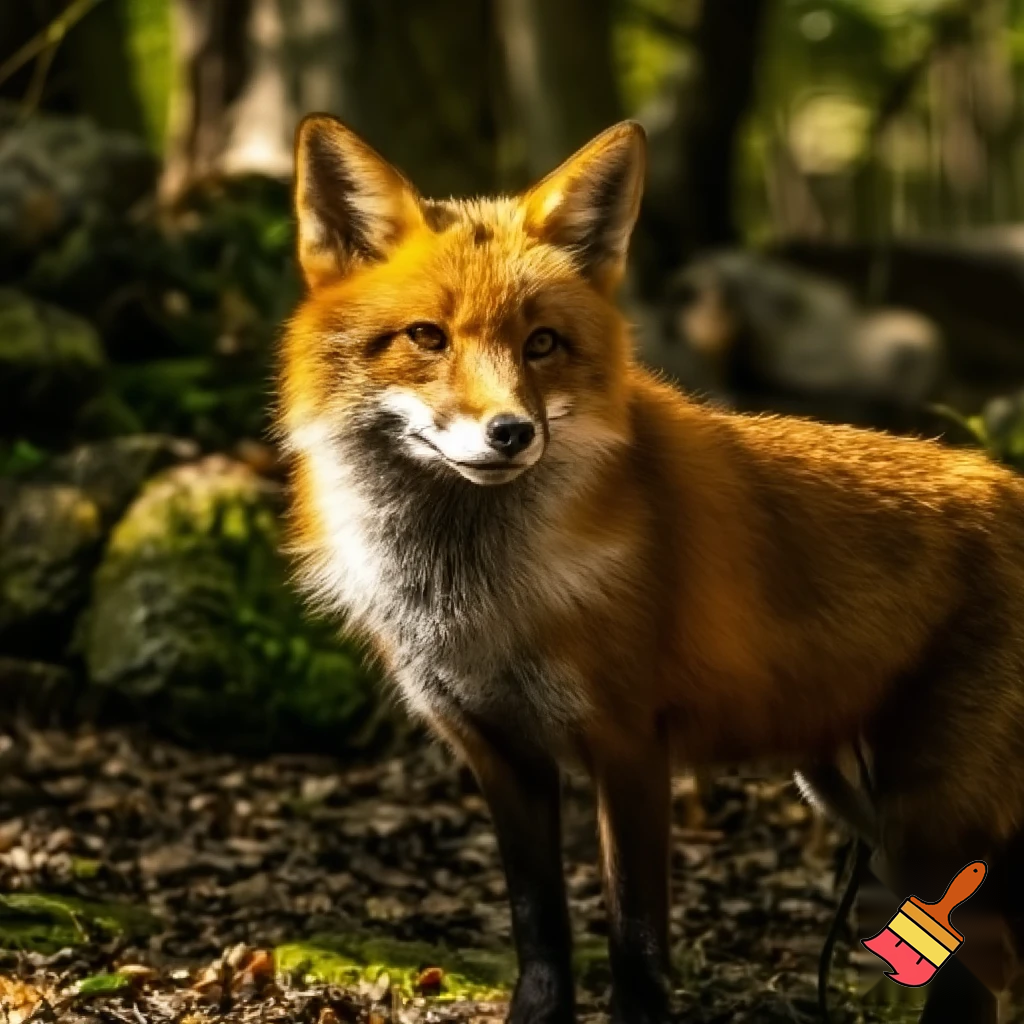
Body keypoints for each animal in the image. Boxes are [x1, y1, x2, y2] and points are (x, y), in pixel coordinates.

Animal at [279, 114, 1024, 1024]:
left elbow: (634, 940)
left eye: (542, 344)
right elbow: (540, 929)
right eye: (427, 337)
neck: (478, 600)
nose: (511, 433)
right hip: (853, 794)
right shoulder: (501, 755)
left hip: (929, 819)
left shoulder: (630, 745)